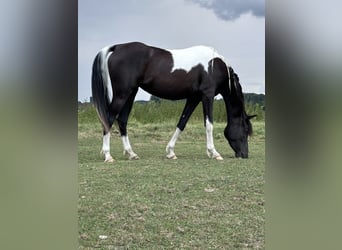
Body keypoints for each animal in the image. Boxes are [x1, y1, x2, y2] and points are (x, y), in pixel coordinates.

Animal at [91, 41, 254, 162]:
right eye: (245, 130)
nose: (245, 155)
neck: (214, 65)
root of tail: (117, 47)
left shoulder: (194, 97)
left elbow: (182, 122)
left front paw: (170, 152)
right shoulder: (207, 95)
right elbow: (209, 125)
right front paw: (214, 153)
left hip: (131, 93)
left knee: (122, 120)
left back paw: (131, 154)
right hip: (122, 94)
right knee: (109, 119)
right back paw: (108, 155)